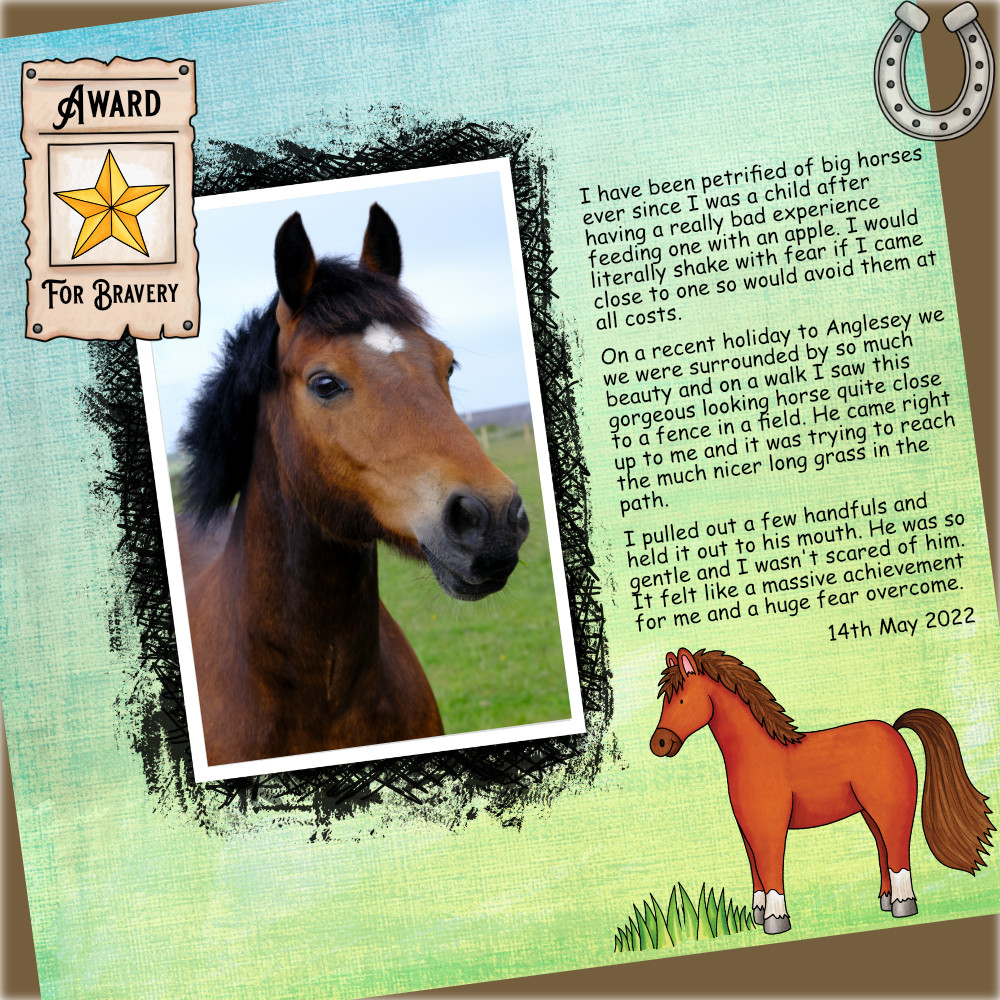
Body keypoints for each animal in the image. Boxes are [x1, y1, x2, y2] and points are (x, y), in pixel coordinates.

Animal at [649, 647, 993, 934]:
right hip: (869, 813)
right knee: (883, 848)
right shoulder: (748, 830)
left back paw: (903, 905)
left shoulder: (770, 829)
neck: (758, 754)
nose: (659, 744)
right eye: (666, 701)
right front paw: (758, 916)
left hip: (892, 809)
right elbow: (756, 872)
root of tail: (894, 731)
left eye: (681, 700)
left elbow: (771, 870)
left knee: (898, 851)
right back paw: (885, 900)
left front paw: (776, 921)